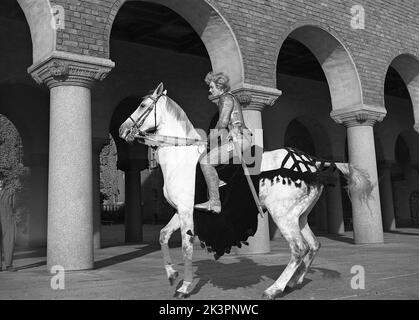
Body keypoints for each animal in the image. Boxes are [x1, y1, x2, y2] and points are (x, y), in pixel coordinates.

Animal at [120, 83, 372, 300]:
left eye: (143, 105)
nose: (123, 130)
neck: (182, 158)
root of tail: (312, 163)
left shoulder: (185, 210)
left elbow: (186, 245)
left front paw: (185, 286)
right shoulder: (182, 210)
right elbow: (163, 235)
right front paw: (172, 275)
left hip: (282, 214)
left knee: (298, 248)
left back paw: (274, 289)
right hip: (299, 216)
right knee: (313, 245)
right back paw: (293, 282)